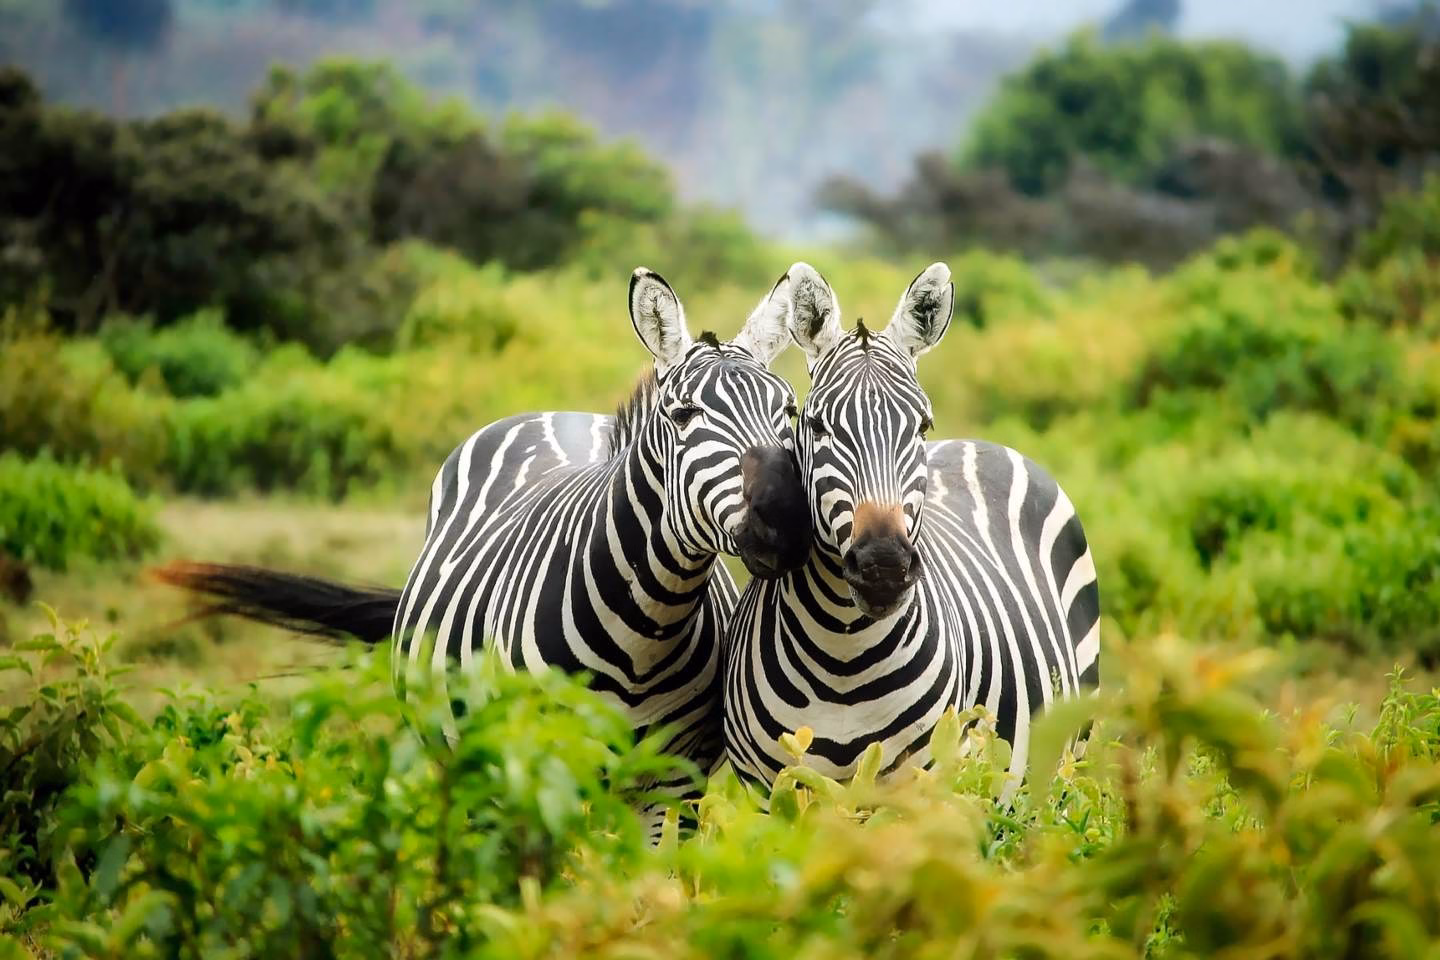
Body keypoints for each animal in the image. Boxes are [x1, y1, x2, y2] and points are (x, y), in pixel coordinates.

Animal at [159, 267, 812, 825]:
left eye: (788, 410)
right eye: (683, 415)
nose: (785, 520)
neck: (645, 631)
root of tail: (556, 412)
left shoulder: (674, 782)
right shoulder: (534, 767)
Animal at [722, 262, 1101, 794]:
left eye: (922, 426)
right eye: (816, 425)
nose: (883, 565)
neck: (842, 656)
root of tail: (980, 442)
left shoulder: (922, 786)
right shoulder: (768, 791)